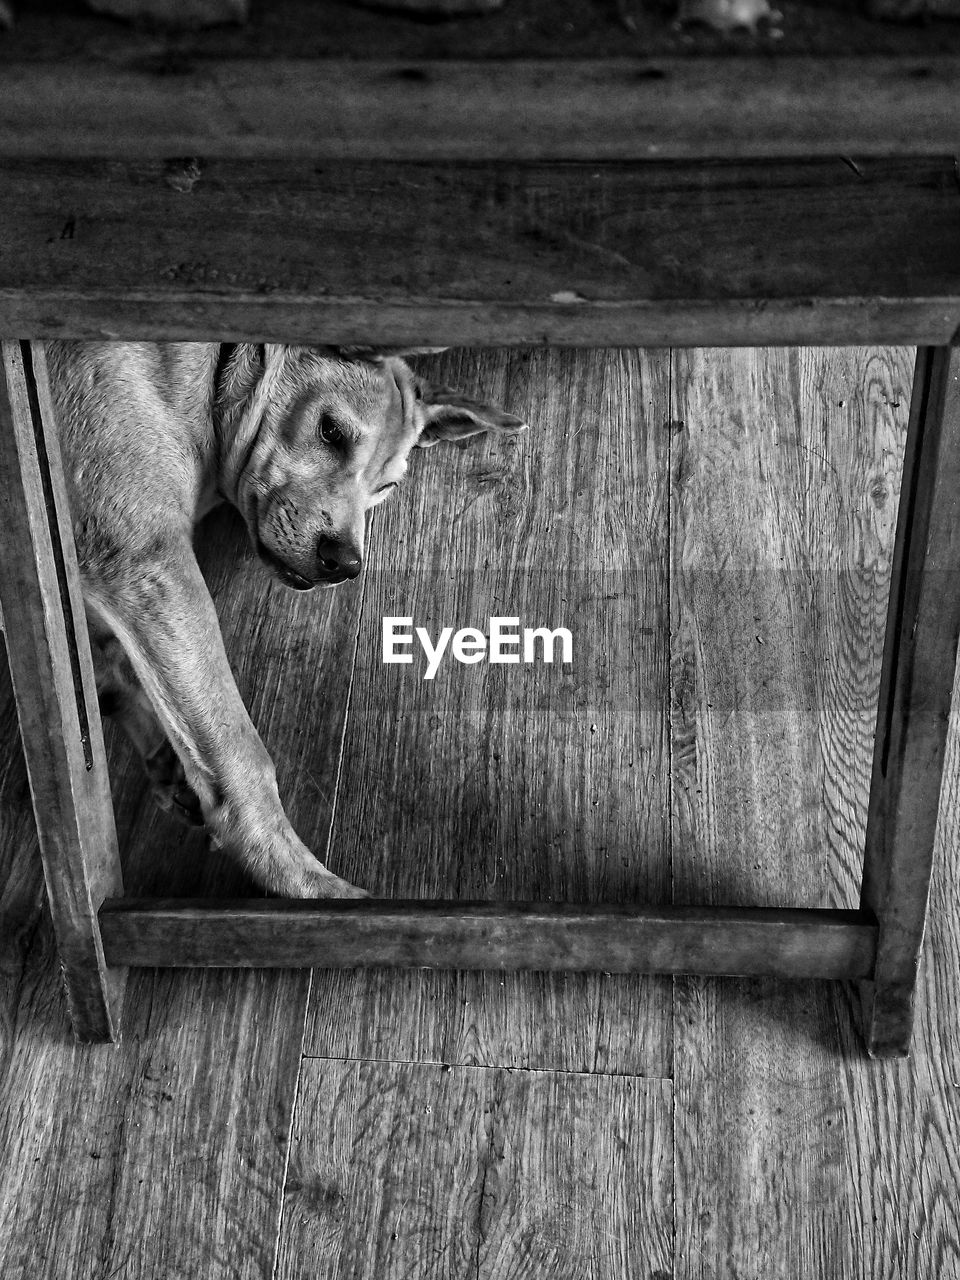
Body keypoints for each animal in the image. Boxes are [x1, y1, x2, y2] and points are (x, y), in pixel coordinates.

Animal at [45, 343, 527, 901]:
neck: (214, 383)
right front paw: (305, 883)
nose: (344, 563)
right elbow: (241, 753)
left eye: (385, 485)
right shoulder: (146, 559)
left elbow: (110, 668)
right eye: (331, 431)